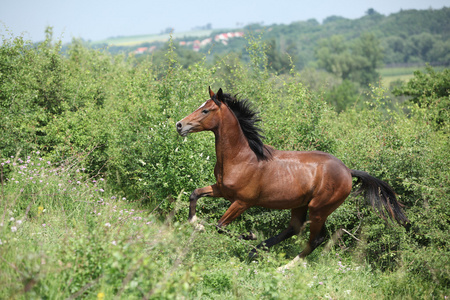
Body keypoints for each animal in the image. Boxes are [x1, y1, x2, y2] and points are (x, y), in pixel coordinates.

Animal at [175, 86, 408, 264]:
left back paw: (284, 266)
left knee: (315, 239)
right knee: (294, 229)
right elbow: (194, 194)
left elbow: (220, 227)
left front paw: (247, 235)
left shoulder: (242, 202)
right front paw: (196, 223)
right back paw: (257, 251)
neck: (241, 157)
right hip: (300, 205)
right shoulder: (221, 189)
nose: (179, 125)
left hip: (319, 209)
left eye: (206, 110)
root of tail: (348, 171)